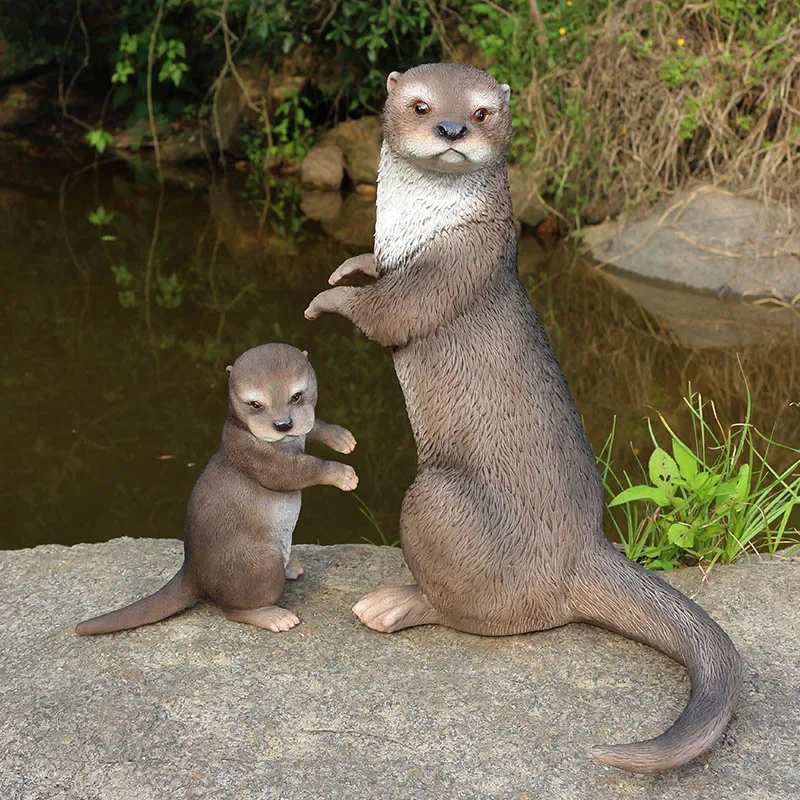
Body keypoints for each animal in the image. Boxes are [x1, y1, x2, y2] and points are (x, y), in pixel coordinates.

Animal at [76, 343, 358, 635]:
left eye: (296, 396)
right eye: (255, 404)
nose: (283, 424)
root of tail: (193, 571)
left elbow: (313, 426)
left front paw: (339, 436)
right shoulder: (256, 457)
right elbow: (299, 471)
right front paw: (344, 474)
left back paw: (291, 567)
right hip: (260, 563)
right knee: (232, 609)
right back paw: (274, 616)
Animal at [304, 63, 741, 774]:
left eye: (482, 111)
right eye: (419, 104)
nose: (451, 127)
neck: (413, 231)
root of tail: (583, 549)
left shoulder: (454, 265)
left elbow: (384, 313)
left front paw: (328, 297)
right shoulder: (397, 252)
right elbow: (372, 267)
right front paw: (348, 265)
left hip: (440, 501)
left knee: (475, 611)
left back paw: (395, 603)